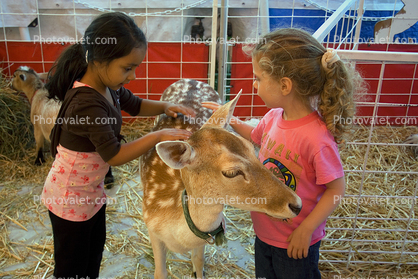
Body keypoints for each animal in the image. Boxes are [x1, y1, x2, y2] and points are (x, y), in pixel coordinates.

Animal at [142, 79, 302, 279]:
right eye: (231, 172)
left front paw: (197, 270)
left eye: (251, 148)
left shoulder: (203, 239)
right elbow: (160, 272)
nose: (297, 205)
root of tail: (190, 80)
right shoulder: (151, 226)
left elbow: (198, 260)